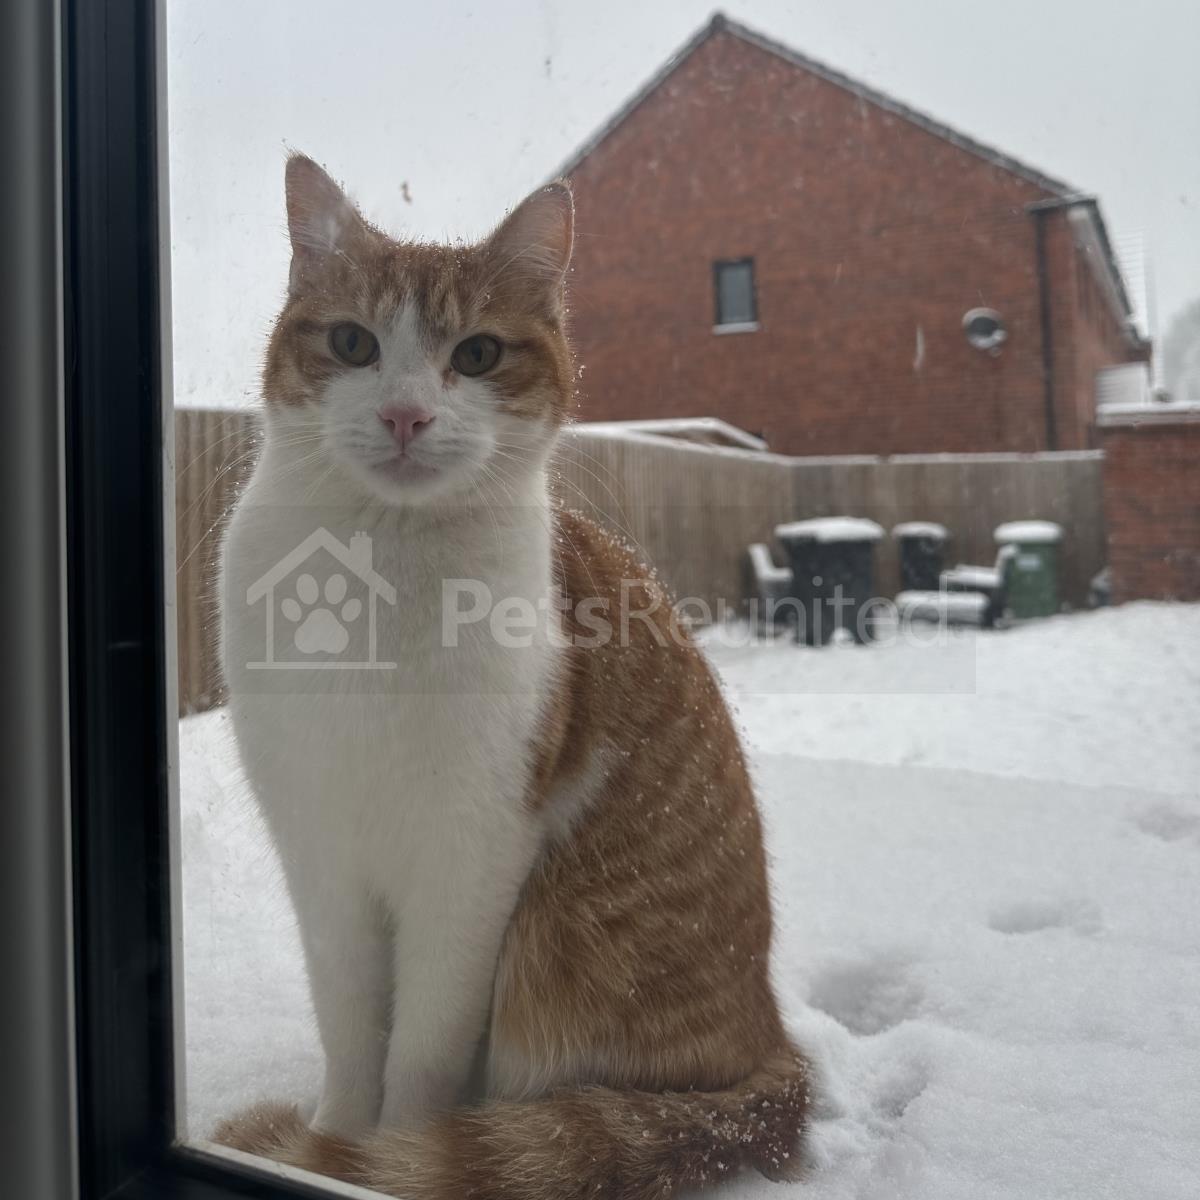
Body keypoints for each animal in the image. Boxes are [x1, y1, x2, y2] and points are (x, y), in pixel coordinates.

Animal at [215, 154, 809, 1199]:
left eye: (479, 354)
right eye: (353, 342)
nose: (406, 413)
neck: (380, 582)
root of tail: (770, 1038)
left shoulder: (473, 857)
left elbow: (419, 1053)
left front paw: (383, 1158)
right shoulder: (320, 850)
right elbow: (348, 1030)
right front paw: (339, 1134)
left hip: (548, 943)